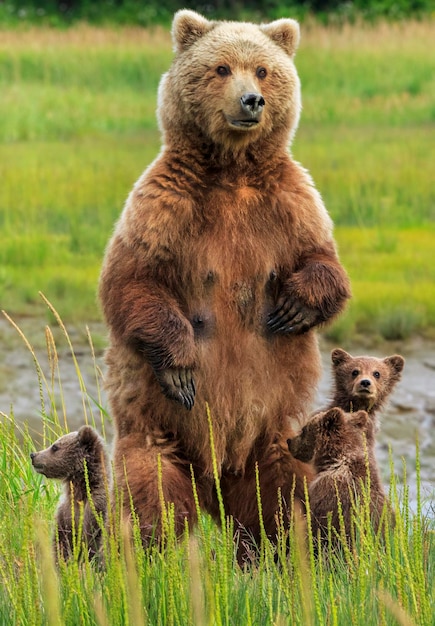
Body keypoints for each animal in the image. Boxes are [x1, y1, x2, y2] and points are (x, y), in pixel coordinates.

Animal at [99, 9, 350, 552]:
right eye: (220, 68)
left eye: (263, 70)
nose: (251, 100)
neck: (232, 169)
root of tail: (216, 472)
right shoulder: (163, 204)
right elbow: (132, 281)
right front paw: (180, 365)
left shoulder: (291, 203)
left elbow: (325, 263)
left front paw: (293, 306)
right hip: (155, 425)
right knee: (151, 490)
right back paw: (153, 551)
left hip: (274, 434)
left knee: (282, 496)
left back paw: (288, 549)